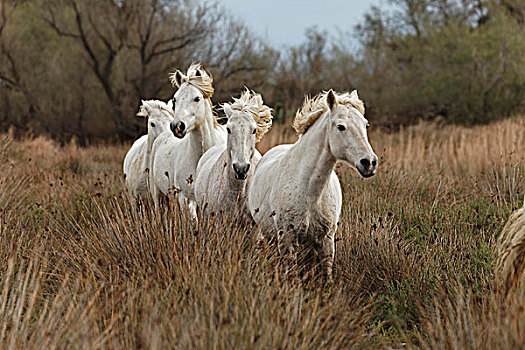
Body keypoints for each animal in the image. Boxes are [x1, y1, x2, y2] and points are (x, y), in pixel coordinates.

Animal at [247, 90, 376, 282]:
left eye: (365, 124)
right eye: (341, 127)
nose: (369, 163)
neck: (309, 192)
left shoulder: (326, 240)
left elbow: (326, 273)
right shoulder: (287, 239)